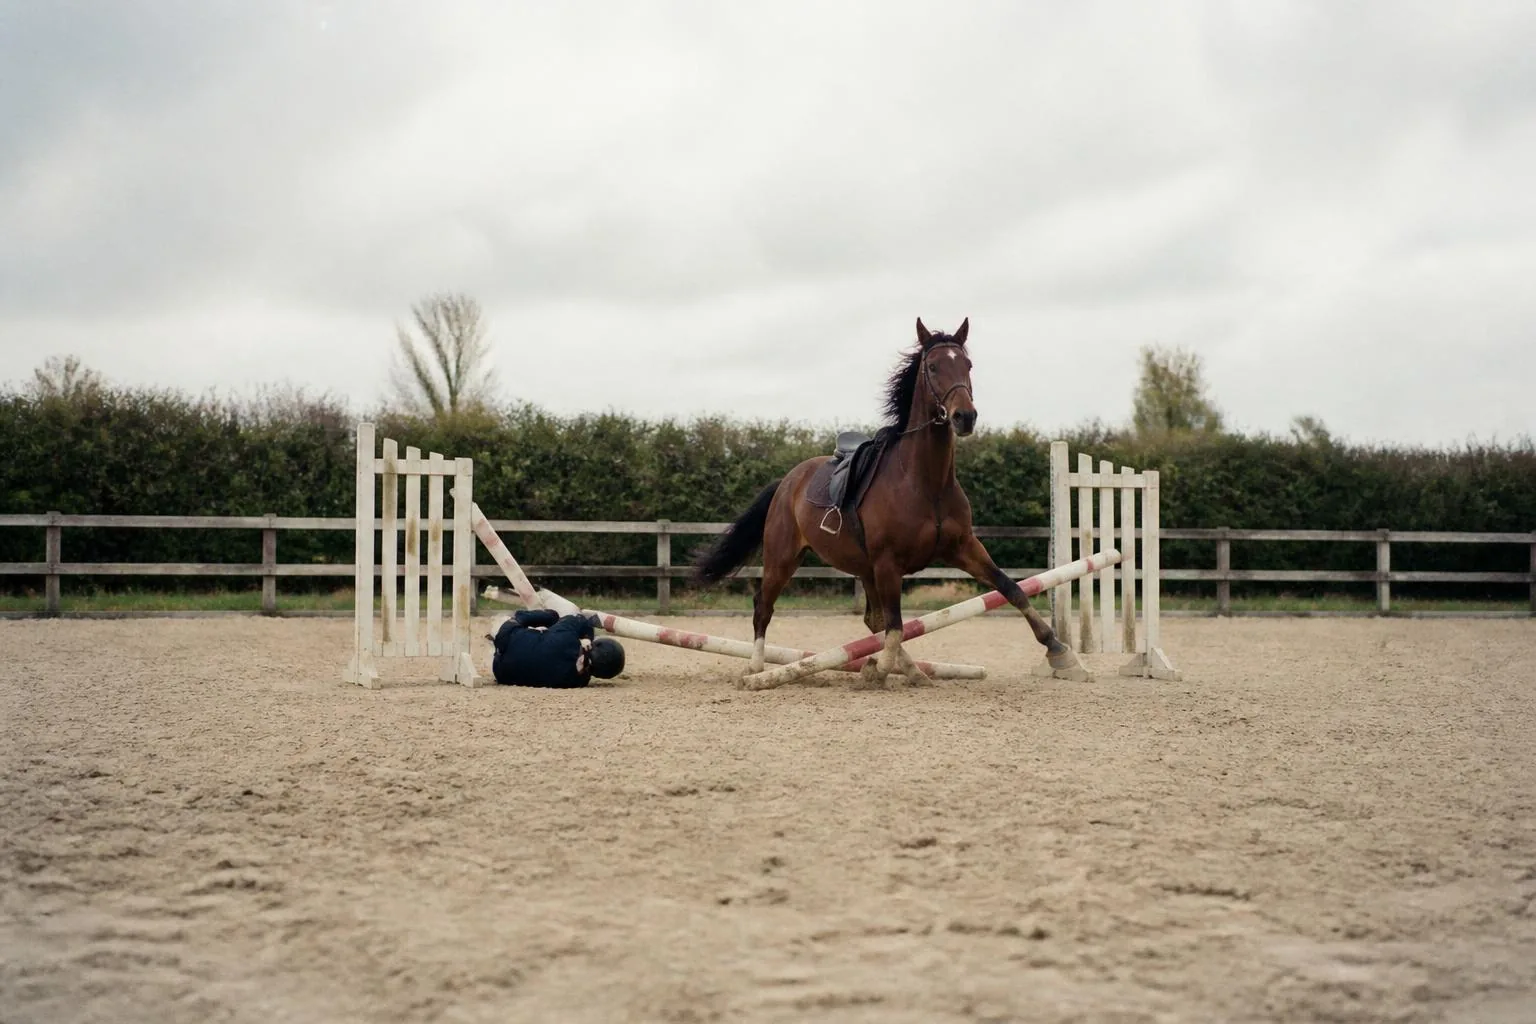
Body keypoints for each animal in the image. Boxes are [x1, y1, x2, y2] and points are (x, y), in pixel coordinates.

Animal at [692, 317, 1076, 687]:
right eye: (933, 366)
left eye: (967, 364)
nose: (964, 417)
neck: (926, 482)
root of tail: (788, 479)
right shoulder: (889, 563)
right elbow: (896, 625)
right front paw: (878, 671)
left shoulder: (963, 548)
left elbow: (1012, 589)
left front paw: (1059, 651)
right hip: (784, 556)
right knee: (764, 606)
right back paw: (756, 669)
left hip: (863, 568)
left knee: (872, 619)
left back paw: (914, 672)